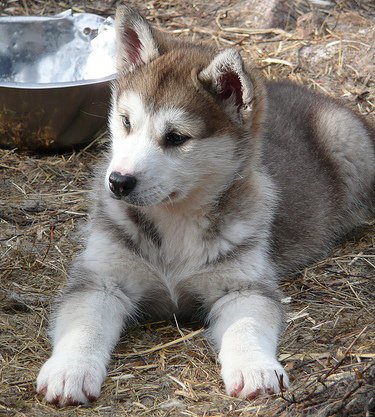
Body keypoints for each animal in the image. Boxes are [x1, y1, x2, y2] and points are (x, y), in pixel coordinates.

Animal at [36, 4, 375, 404]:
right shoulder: (100, 281)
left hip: (345, 139)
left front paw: (255, 369)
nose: (117, 182)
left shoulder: (243, 286)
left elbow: (246, 328)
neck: (176, 220)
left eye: (176, 138)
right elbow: (83, 329)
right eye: (125, 122)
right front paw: (69, 371)